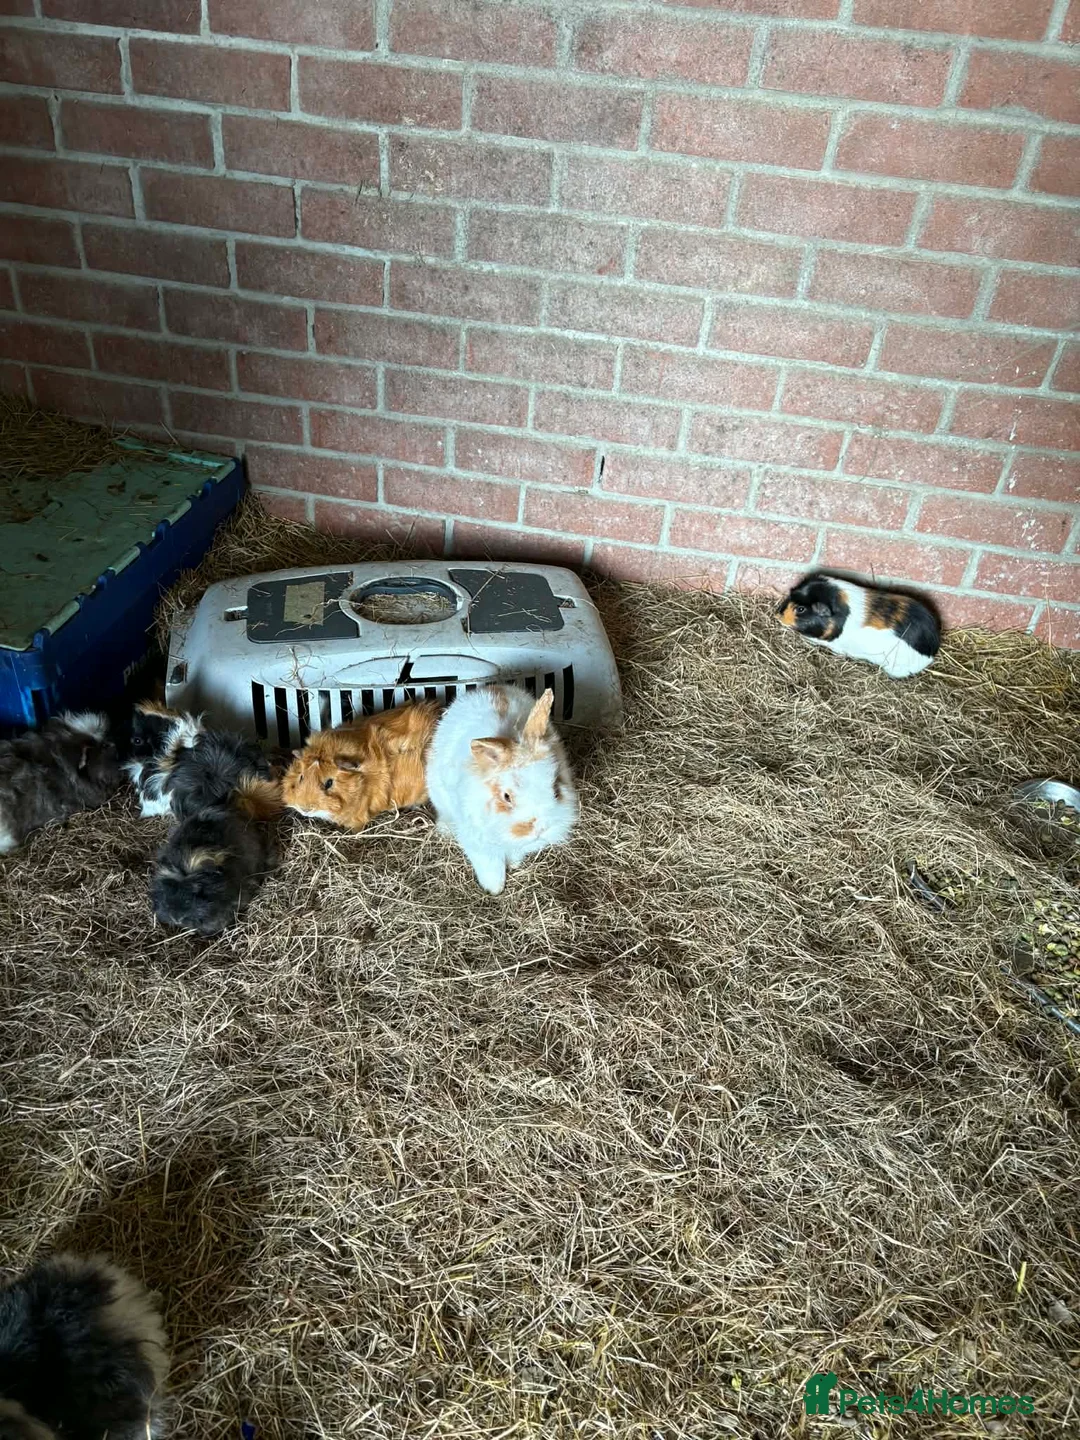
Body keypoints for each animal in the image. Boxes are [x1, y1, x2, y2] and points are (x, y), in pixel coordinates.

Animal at [426, 685, 578, 895]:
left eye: (555, 788)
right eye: (507, 797)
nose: (541, 828)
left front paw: (514, 864)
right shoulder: (477, 842)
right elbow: (491, 866)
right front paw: (494, 890)